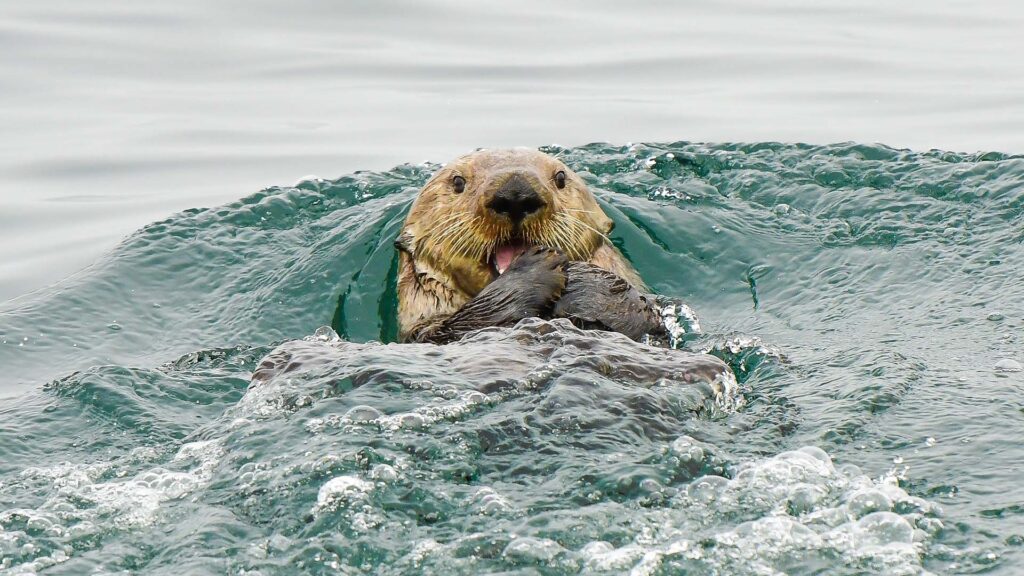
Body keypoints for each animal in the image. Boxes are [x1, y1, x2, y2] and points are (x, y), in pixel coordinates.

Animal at [395, 148, 666, 344]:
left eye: (560, 178)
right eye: (458, 182)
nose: (515, 193)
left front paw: (589, 282)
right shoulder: (423, 330)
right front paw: (533, 273)